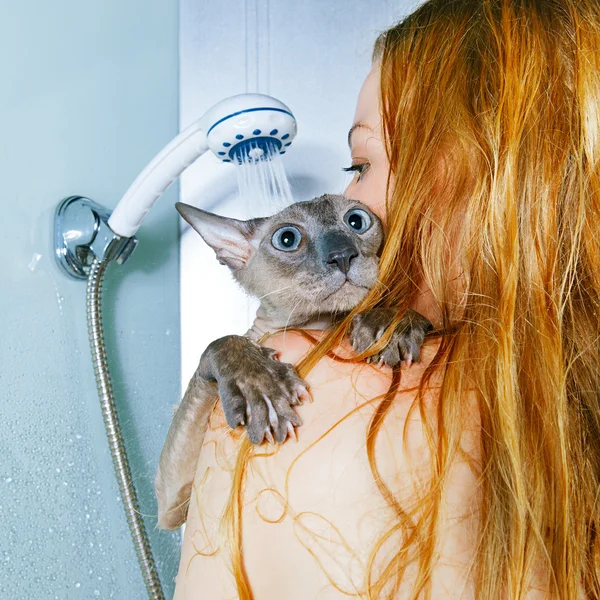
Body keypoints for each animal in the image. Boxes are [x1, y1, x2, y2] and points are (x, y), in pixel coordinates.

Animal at [155, 193, 432, 528]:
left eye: (356, 221)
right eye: (287, 239)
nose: (342, 255)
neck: (319, 325)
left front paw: (389, 322)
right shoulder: (170, 503)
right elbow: (220, 342)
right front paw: (259, 383)